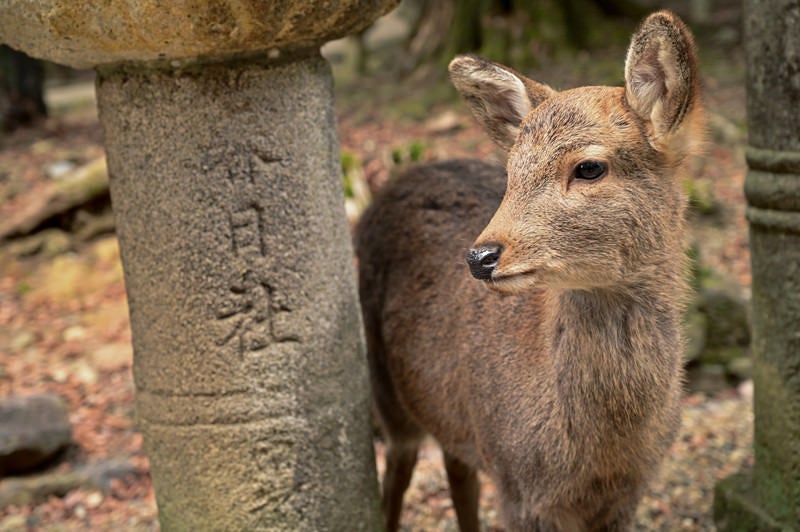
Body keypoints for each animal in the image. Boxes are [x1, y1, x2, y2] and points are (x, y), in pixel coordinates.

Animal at [354, 12, 700, 532]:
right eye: (511, 171)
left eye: (589, 167)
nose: (480, 257)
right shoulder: (518, 485)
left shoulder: (626, 495)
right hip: (383, 384)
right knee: (399, 465)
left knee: (457, 468)